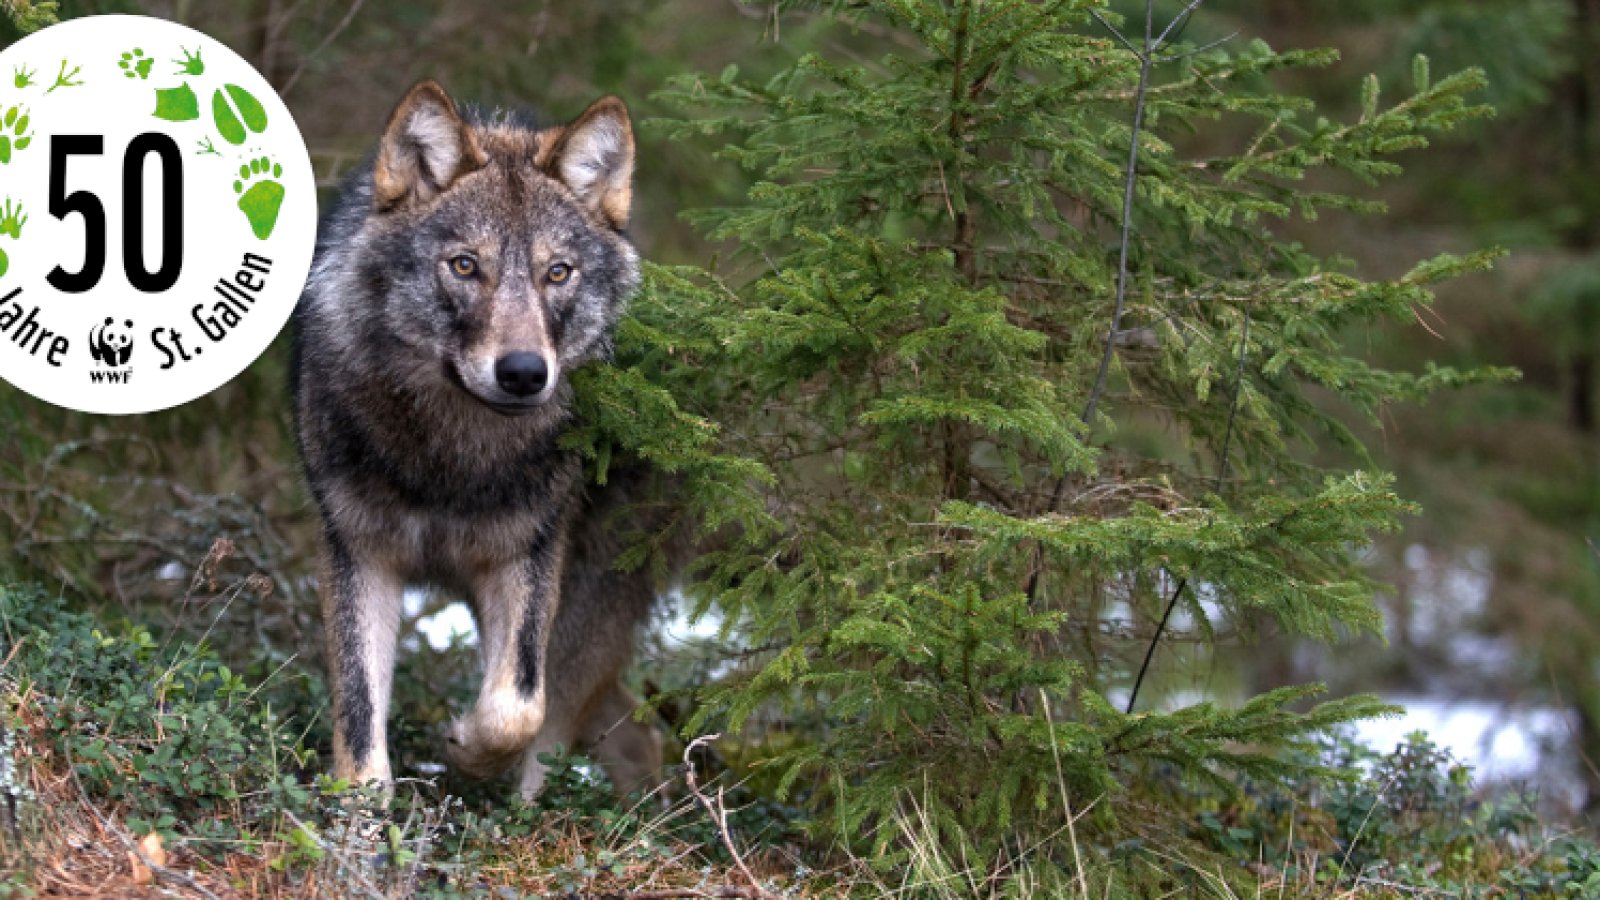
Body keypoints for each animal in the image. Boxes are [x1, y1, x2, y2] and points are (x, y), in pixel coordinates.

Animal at [292, 80, 663, 798]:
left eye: (558, 273)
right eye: (465, 266)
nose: (523, 372)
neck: (451, 460)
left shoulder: (528, 554)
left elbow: (516, 705)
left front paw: (463, 750)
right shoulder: (357, 551)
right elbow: (358, 710)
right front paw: (360, 816)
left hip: (580, 608)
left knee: (569, 726)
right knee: (633, 730)